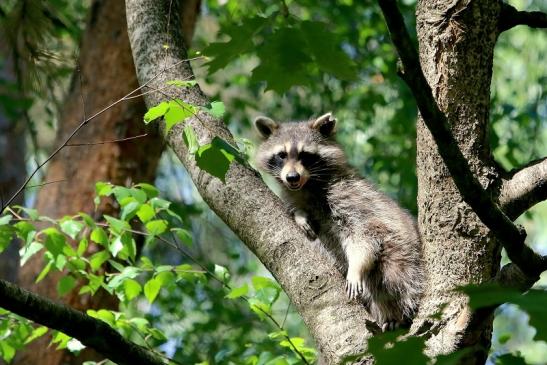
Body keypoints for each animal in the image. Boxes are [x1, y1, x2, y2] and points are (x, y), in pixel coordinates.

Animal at [255, 112, 426, 328]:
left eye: (305, 155)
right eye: (282, 155)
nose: (292, 177)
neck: (308, 185)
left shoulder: (349, 197)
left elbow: (364, 237)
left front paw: (356, 267)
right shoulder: (293, 194)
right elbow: (295, 208)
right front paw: (300, 215)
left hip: (405, 257)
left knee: (394, 278)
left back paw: (398, 313)